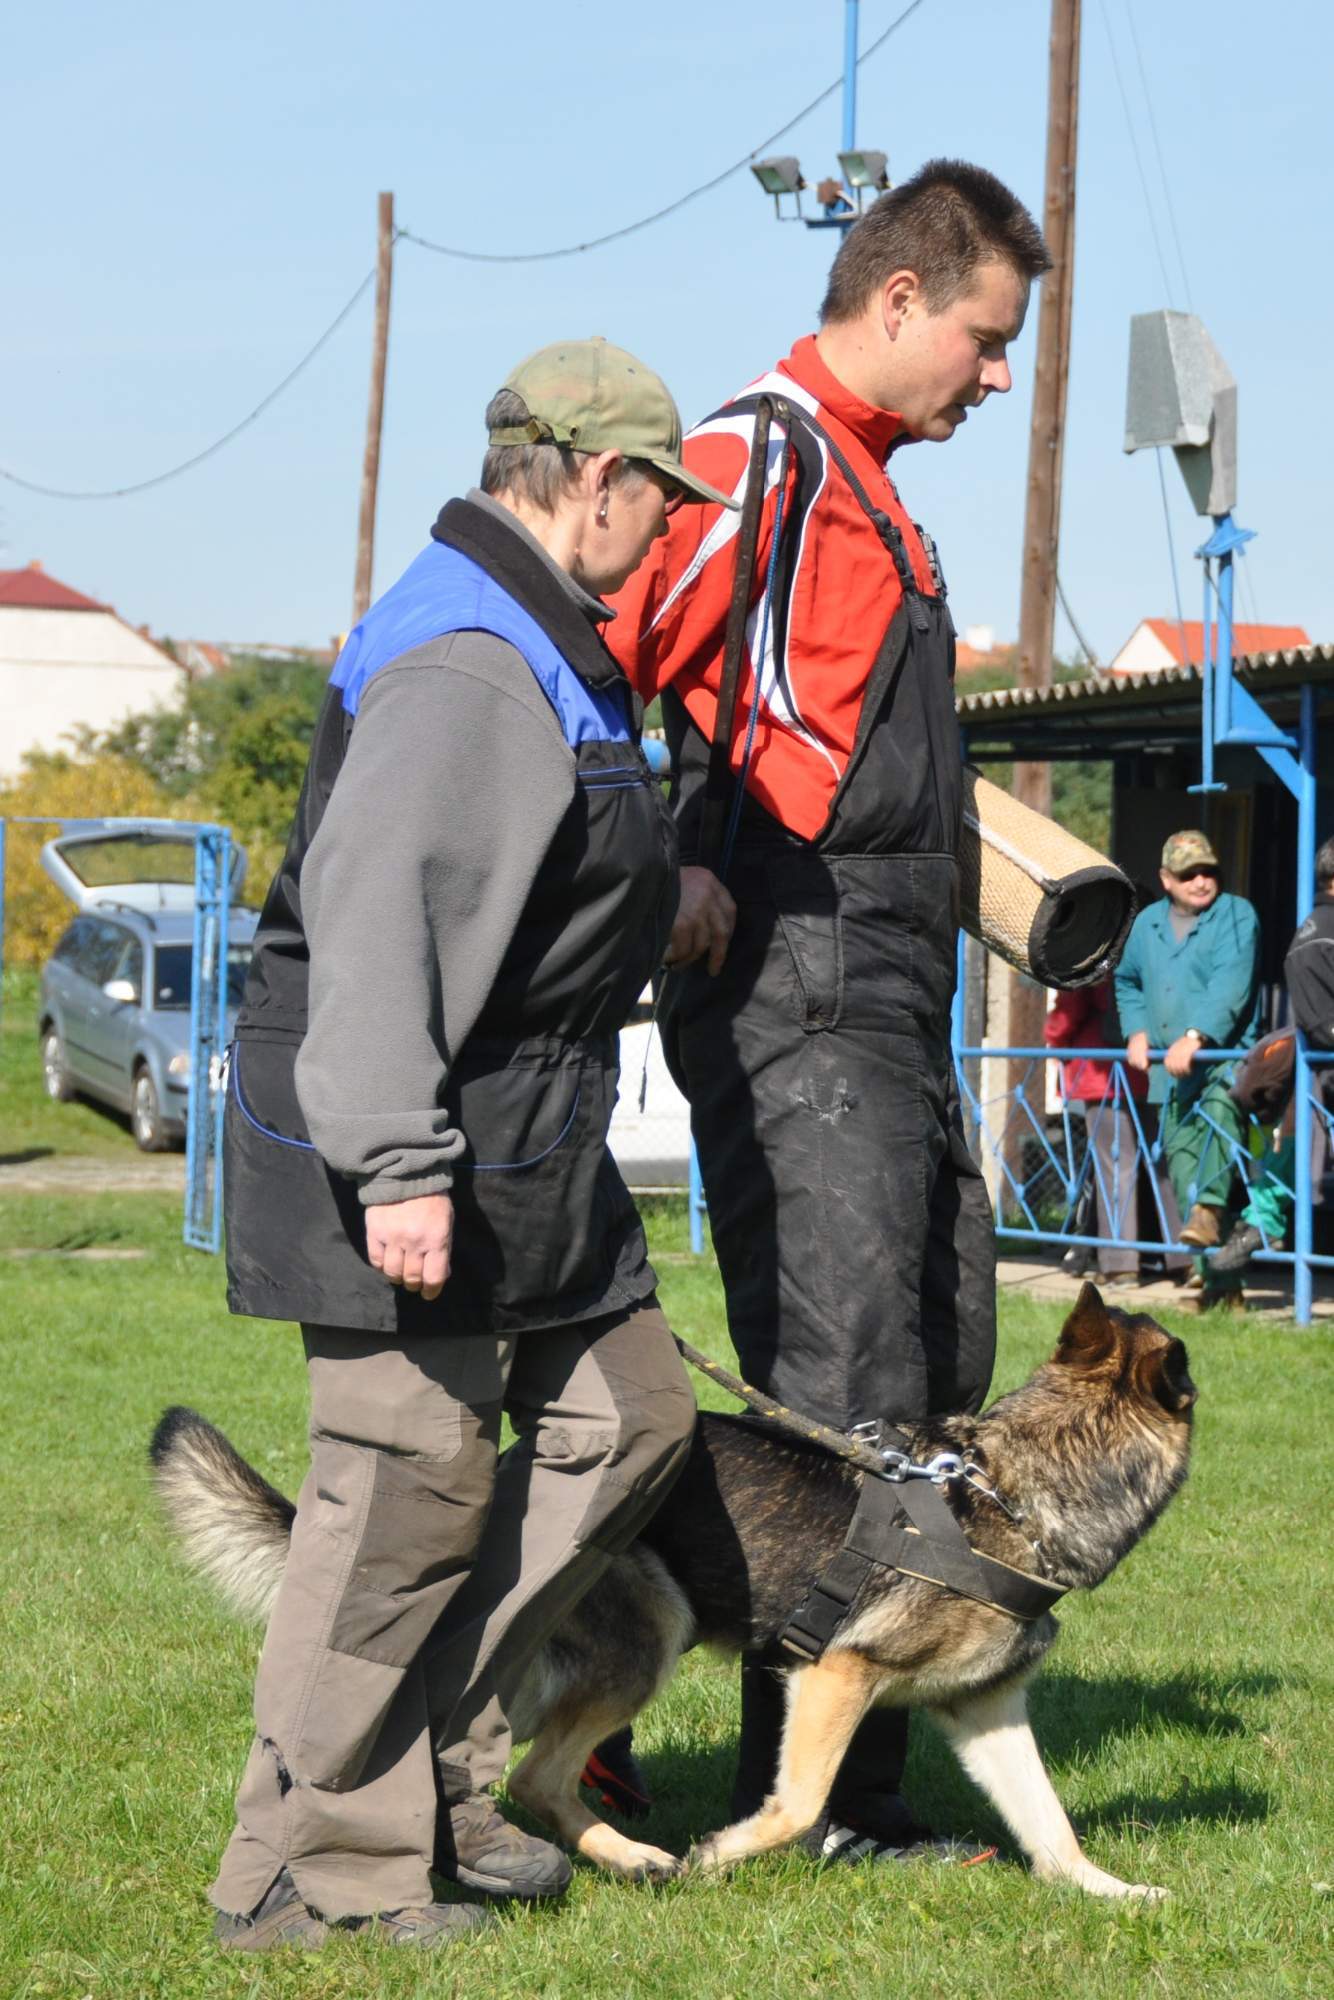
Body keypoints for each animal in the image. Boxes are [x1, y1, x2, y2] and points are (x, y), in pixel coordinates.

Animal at [151, 1283, 1193, 1900]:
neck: (1009, 1489)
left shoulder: (985, 1710)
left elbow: (1048, 1822)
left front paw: (1107, 1892)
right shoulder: (834, 1677)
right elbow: (800, 1804)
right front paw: (721, 1854)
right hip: (650, 1634)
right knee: (532, 1774)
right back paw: (629, 1858)